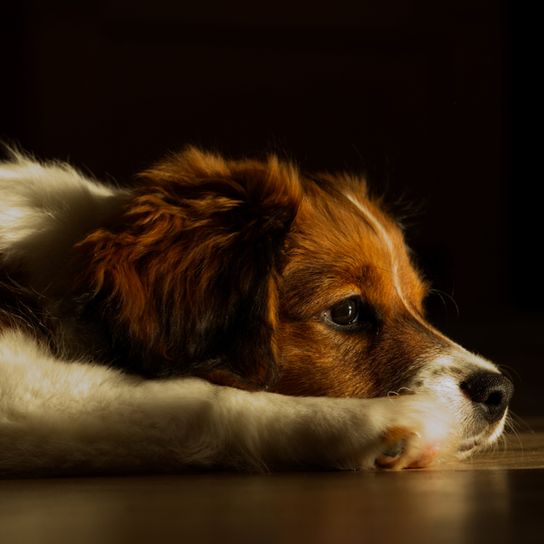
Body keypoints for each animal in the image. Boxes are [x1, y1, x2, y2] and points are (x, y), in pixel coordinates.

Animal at [0, 147, 512, 474]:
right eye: (347, 311)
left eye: (421, 304)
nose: (500, 392)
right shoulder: (20, 385)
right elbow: (193, 401)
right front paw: (371, 422)